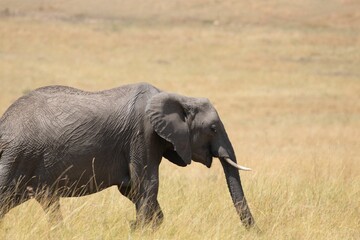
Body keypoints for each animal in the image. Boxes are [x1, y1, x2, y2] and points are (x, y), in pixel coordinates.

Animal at [0, 83, 256, 230]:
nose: (255, 230)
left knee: (47, 202)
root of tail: (4, 122)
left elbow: (132, 189)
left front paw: (143, 226)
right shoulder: (142, 135)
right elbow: (146, 183)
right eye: (213, 128)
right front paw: (140, 228)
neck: (178, 97)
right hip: (18, 155)